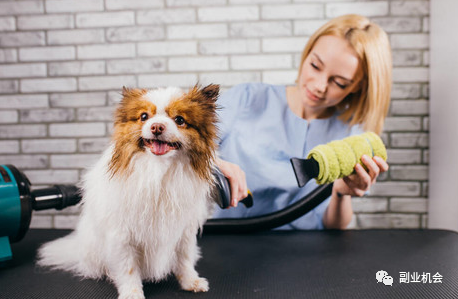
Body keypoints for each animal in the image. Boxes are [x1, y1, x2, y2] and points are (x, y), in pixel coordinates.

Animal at [37, 84, 220, 299]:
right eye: (144, 116)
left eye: (180, 120)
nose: (157, 127)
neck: (157, 170)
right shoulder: (122, 234)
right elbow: (128, 267)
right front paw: (131, 292)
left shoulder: (183, 230)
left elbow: (184, 259)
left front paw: (190, 281)